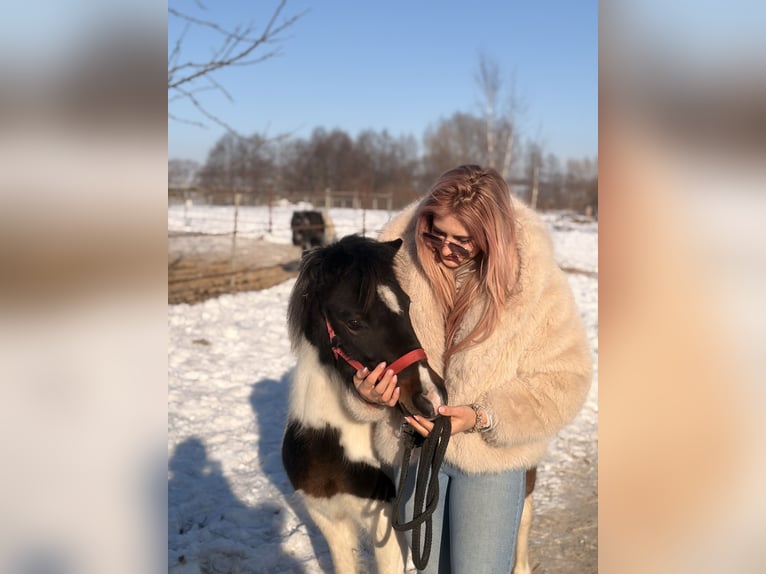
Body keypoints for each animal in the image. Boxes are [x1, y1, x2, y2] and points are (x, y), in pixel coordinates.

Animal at [282, 235, 448, 573]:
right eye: (354, 322)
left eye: (407, 305)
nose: (431, 397)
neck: (333, 445)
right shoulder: (327, 518)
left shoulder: (386, 525)